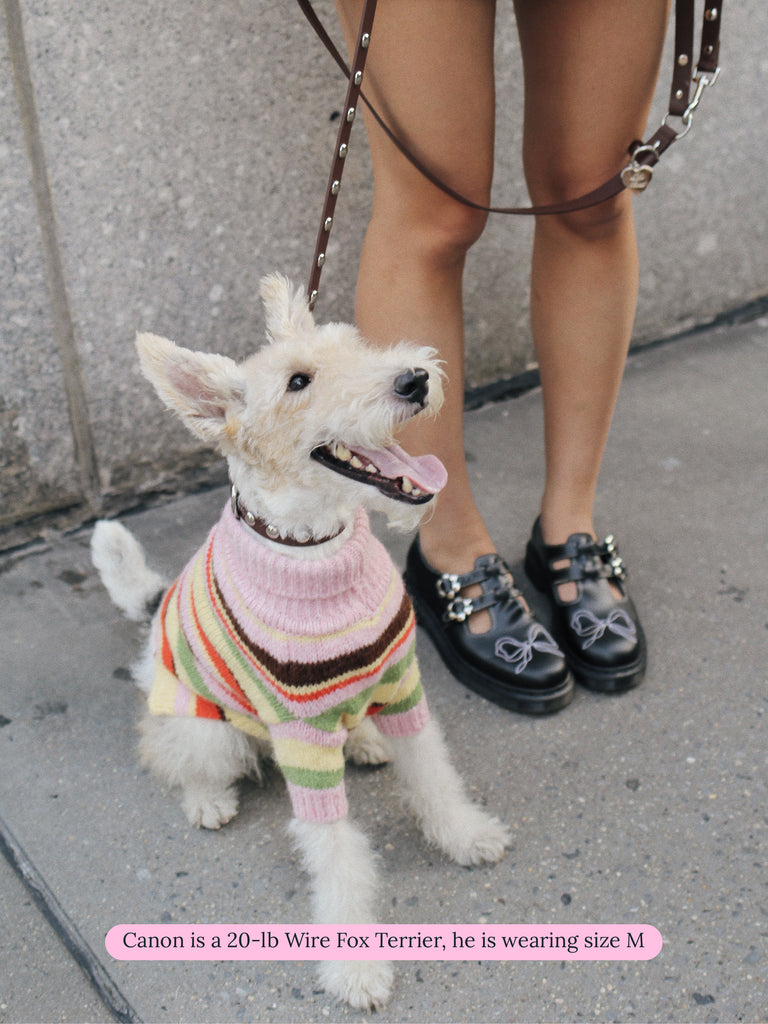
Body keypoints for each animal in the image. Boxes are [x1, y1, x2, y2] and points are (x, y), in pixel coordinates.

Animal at [91, 276, 512, 1011]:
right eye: (297, 381)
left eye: (354, 344)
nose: (414, 379)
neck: (316, 549)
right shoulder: (301, 739)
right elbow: (336, 852)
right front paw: (355, 967)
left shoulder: (404, 688)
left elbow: (433, 774)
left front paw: (463, 834)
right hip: (203, 724)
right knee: (171, 752)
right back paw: (206, 797)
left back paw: (366, 740)